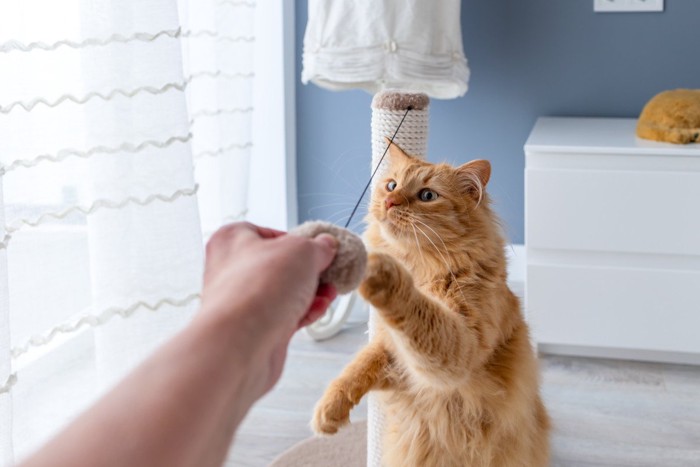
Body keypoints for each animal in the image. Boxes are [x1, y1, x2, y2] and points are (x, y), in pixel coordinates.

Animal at [314, 143, 552, 467]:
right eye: (392, 185)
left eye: (427, 195)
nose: (389, 201)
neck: (424, 270)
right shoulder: (391, 349)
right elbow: (359, 365)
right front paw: (330, 410)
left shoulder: (460, 349)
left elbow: (420, 312)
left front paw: (382, 272)